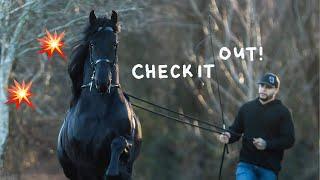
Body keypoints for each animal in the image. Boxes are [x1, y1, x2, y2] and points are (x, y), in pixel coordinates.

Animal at [57, 10, 142, 179]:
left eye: (115, 44)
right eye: (92, 44)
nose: (102, 81)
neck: (100, 110)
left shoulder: (128, 142)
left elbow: (119, 143)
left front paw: (112, 171)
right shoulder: (84, 163)